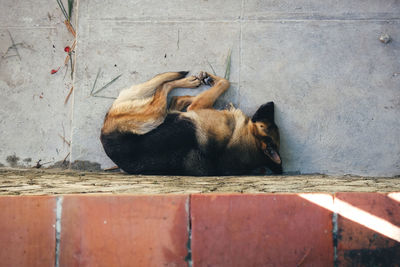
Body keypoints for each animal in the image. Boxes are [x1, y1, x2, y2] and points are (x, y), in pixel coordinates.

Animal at [100, 71, 282, 176]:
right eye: (272, 123)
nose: (272, 103)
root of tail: (104, 138)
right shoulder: (197, 108)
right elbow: (221, 85)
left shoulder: (197, 108)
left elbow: (223, 84)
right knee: (171, 96)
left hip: (153, 115)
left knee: (165, 87)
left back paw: (188, 83)